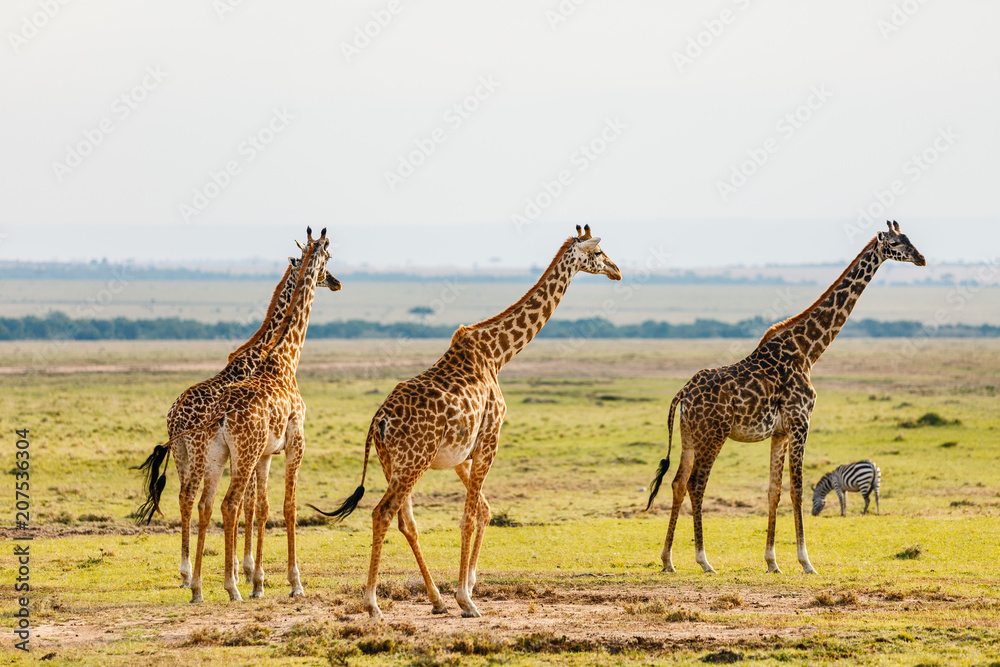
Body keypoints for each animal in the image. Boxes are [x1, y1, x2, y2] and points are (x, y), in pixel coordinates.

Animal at [134, 228, 338, 601]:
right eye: (328, 260)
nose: (335, 281)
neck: (279, 358)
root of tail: (174, 415)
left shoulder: (263, 453)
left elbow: (259, 506)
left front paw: (253, 576)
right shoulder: (293, 443)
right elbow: (277, 506)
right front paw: (275, 579)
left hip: (191, 454)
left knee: (195, 500)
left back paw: (195, 582)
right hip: (212, 454)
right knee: (218, 502)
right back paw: (211, 581)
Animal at [310, 225, 621, 620]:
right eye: (598, 253)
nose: (617, 271)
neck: (498, 353)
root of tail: (377, 423)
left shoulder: (461, 454)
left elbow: (483, 511)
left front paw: (467, 588)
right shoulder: (490, 439)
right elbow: (470, 516)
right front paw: (466, 599)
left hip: (392, 464)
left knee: (405, 520)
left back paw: (434, 600)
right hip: (414, 462)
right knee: (383, 513)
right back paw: (373, 603)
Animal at [646, 222, 924, 575]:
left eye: (909, 238)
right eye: (896, 243)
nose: (921, 258)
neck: (808, 351)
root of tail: (682, 393)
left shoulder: (779, 431)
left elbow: (774, 491)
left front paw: (772, 562)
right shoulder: (801, 420)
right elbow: (798, 489)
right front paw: (806, 562)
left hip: (689, 436)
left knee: (678, 483)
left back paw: (667, 560)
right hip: (714, 434)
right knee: (697, 484)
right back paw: (704, 560)